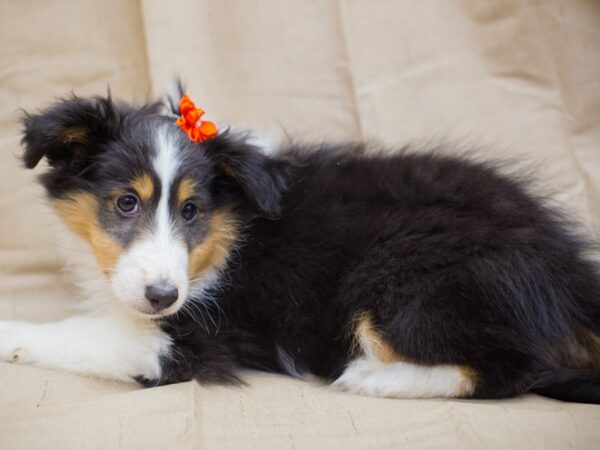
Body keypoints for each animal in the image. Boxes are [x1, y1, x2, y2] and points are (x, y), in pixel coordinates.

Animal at [1, 84, 600, 404]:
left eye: (192, 211)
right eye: (126, 202)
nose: (162, 297)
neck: (225, 238)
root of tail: (567, 268)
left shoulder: (193, 339)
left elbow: (77, 334)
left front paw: (11, 331)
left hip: (406, 276)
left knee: (515, 369)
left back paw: (374, 378)